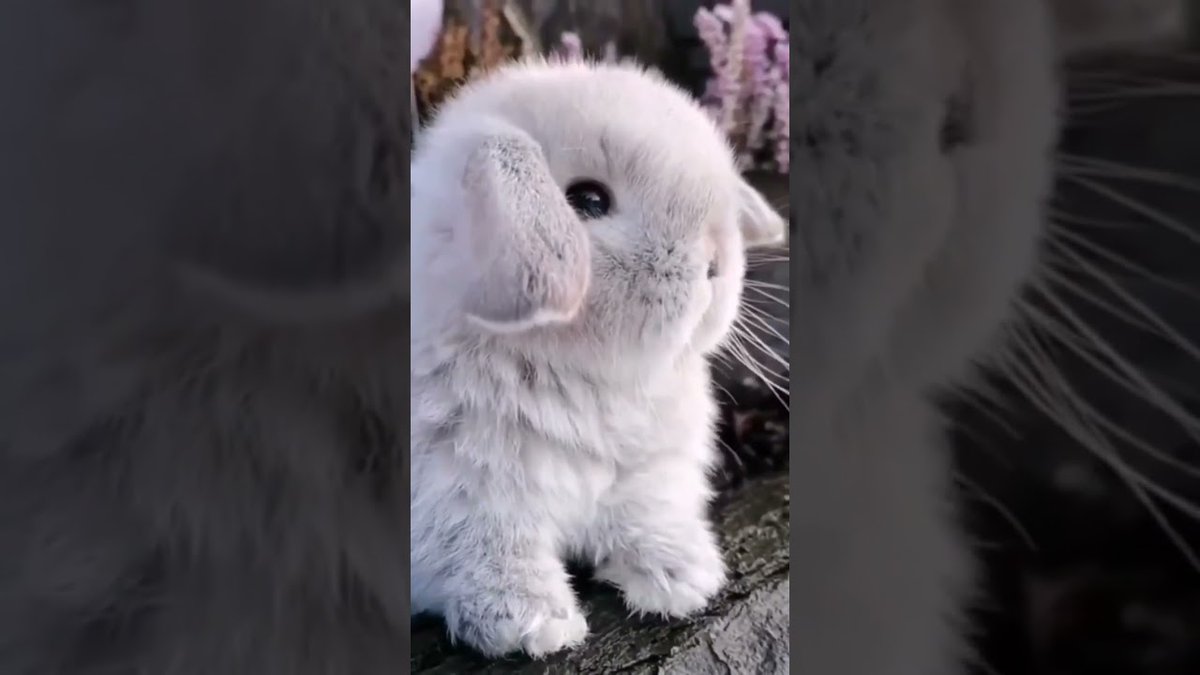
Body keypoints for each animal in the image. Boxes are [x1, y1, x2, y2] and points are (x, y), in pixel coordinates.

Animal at [408, 57, 786, 658]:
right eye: (588, 200)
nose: (715, 264)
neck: (575, 374)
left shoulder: (647, 474)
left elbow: (648, 515)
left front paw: (684, 579)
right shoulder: (461, 507)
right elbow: (488, 557)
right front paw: (535, 625)